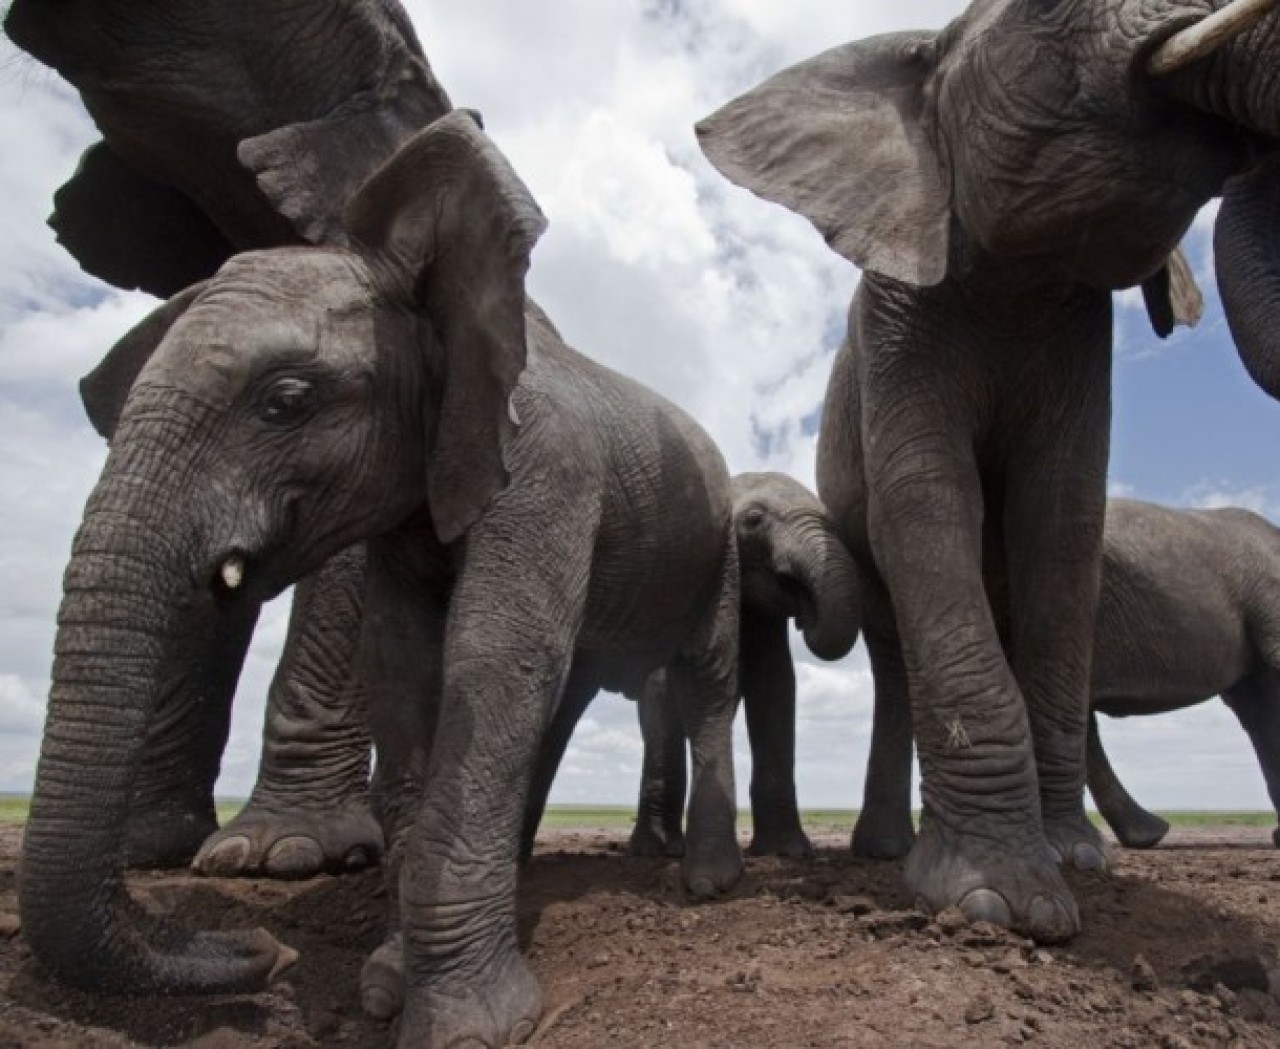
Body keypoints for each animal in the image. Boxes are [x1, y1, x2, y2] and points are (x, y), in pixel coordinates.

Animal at [20, 110, 747, 1043]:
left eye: (285, 401)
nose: (262, 949)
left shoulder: (547, 469)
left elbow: (492, 657)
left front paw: (466, 1023)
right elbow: (406, 672)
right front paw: (387, 985)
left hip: (716, 547)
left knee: (703, 679)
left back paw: (708, 883)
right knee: (562, 696)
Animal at [619, 473, 860, 859]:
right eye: (753, 520)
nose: (806, 615)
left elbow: (775, 687)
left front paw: (786, 852)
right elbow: (661, 696)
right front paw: (659, 852)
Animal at [701, 0, 1280, 941]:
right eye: (1045, 14)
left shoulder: (1081, 338)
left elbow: (1063, 520)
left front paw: (1074, 862)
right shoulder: (897, 322)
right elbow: (929, 506)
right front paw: (1005, 905)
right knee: (896, 647)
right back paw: (892, 852)